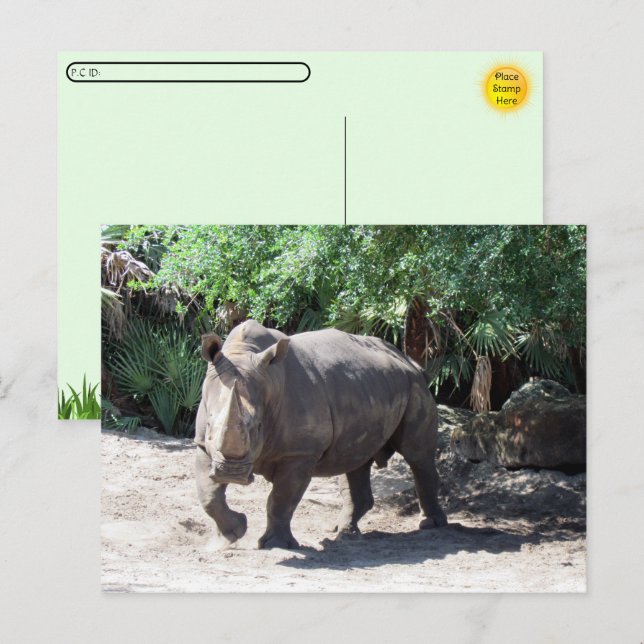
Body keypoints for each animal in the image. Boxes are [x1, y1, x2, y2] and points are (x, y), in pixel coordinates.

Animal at [195, 319, 447, 550]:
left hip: (414, 387)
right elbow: (209, 495)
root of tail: (410, 362)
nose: (231, 473)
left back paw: (430, 524)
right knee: (355, 460)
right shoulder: (203, 446)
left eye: (258, 427)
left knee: (416, 455)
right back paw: (345, 534)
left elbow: (280, 500)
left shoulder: (300, 452)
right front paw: (232, 535)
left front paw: (275, 546)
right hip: (367, 389)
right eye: (209, 426)